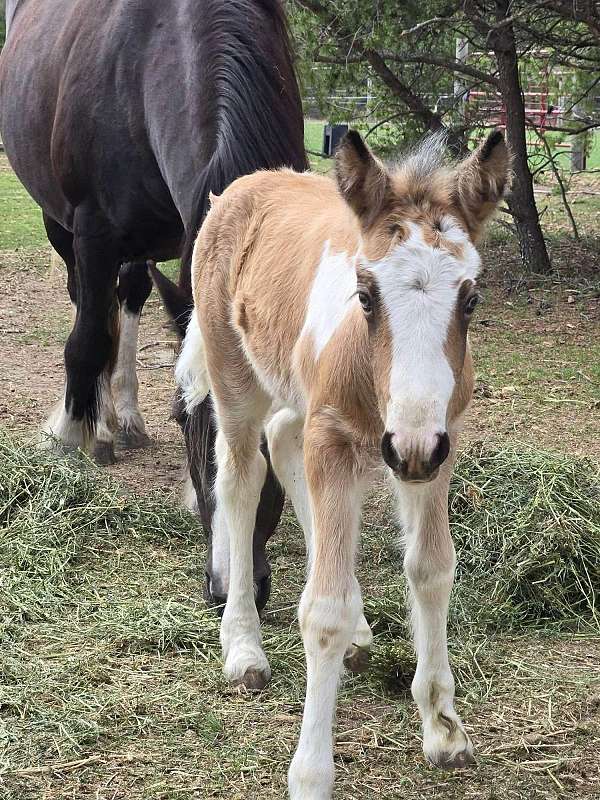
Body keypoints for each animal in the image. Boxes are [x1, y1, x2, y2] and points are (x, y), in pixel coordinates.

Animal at [0, 0, 307, 609]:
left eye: (278, 426)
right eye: (183, 418)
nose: (231, 587)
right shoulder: (92, 230)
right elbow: (87, 337)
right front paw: (71, 434)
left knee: (131, 298)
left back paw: (123, 415)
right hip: (61, 225)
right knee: (91, 307)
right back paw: (100, 423)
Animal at [176, 129, 509, 798]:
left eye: (472, 297)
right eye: (365, 295)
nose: (409, 446)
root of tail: (247, 183)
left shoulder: (436, 443)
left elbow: (431, 569)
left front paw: (442, 727)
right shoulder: (342, 438)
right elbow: (323, 610)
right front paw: (310, 774)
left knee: (282, 438)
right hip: (236, 378)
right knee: (241, 476)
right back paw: (243, 647)